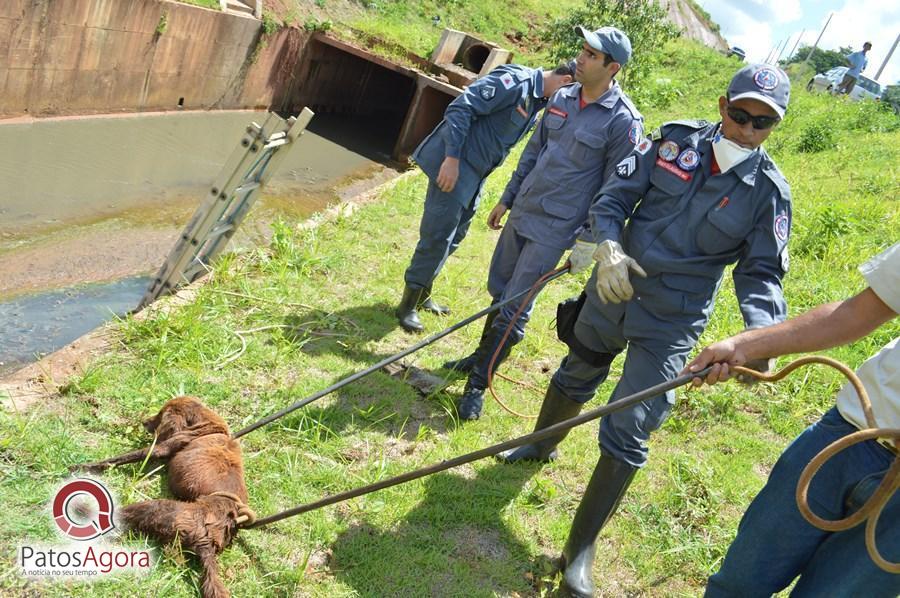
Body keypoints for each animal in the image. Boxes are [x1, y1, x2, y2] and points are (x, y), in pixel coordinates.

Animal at [80, 398, 253, 598]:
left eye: (161, 414)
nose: (144, 422)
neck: (207, 426)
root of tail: (209, 541)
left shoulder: (163, 447)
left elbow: (126, 457)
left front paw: (85, 466)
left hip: (157, 508)